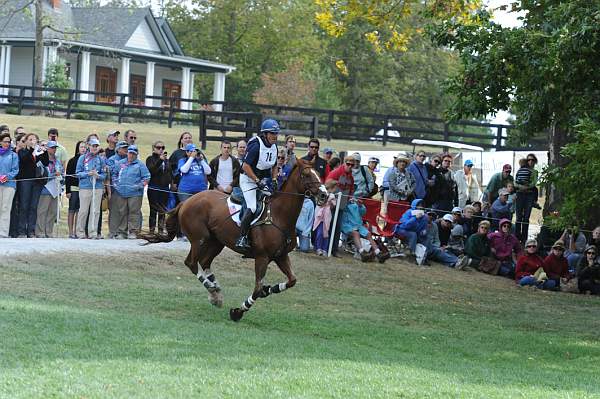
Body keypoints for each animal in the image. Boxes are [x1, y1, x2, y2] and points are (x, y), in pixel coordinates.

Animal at [142, 158, 328, 324]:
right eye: (306, 175)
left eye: (318, 174)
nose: (324, 195)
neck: (279, 215)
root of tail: (187, 201)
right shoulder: (262, 257)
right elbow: (257, 289)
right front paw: (238, 312)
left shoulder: (280, 256)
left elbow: (291, 281)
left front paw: (269, 289)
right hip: (199, 239)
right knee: (191, 262)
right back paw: (212, 289)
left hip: (216, 242)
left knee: (205, 262)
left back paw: (215, 293)